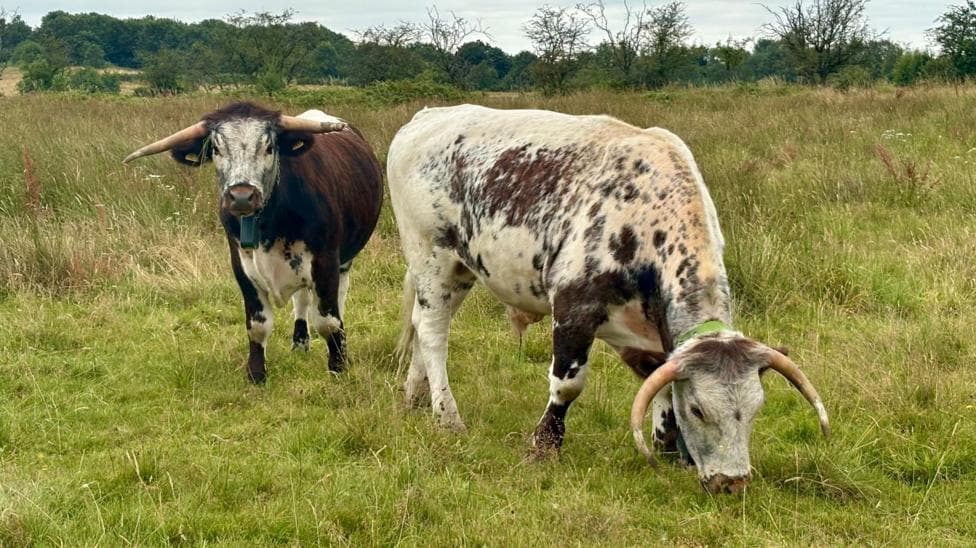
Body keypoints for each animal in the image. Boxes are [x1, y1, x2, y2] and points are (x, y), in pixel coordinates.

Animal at [124, 102, 383, 383]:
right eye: (216, 148)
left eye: (269, 147)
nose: (241, 196)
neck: (269, 221)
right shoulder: (242, 267)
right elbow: (258, 325)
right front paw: (256, 374)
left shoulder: (326, 263)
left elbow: (328, 322)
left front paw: (338, 366)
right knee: (302, 301)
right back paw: (299, 343)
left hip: (344, 262)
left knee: (337, 300)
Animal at [387, 104, 829, 494]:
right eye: (699, 409)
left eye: (756, 409)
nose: (731, 482)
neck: (649, 219)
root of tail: (427, 117)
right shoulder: (574, 309)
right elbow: (567, 385)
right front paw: (544, 446)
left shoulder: (644, 333)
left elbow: (658, 380)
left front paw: (669, 448)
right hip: (431, 259)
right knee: (433, 335)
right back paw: (447, 415)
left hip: (460, 271)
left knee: (421, 325)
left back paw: (414, 396)